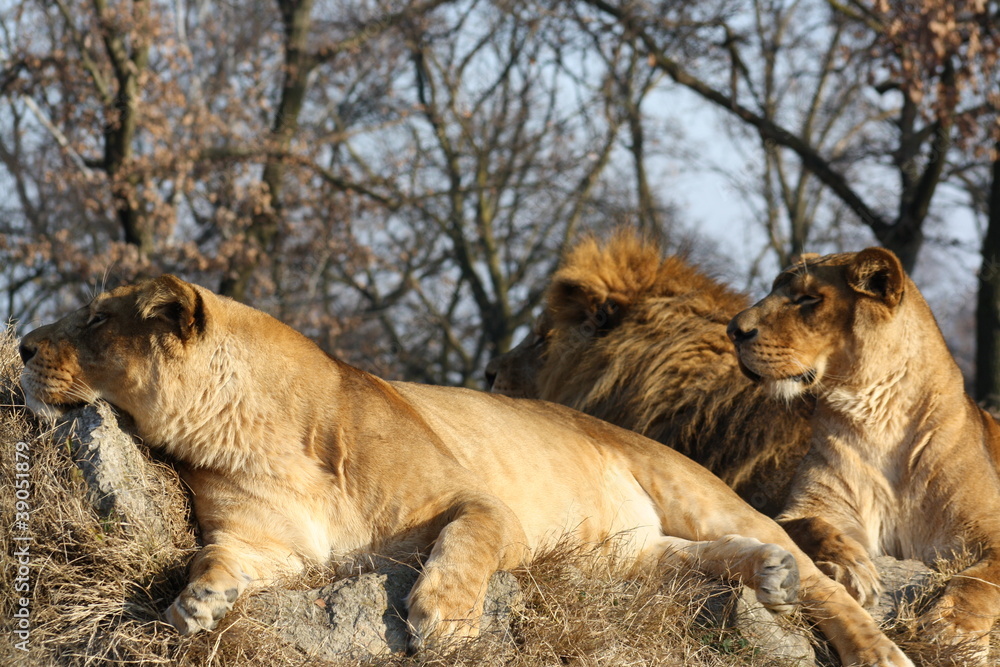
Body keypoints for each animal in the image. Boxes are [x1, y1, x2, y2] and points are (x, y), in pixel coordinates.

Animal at [18, 274, 911, 666]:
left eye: (94, 320)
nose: (22, 344)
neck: (248, 432)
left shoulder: (483, 505)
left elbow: (467, 534)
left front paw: (441, 617)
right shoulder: (270, 543)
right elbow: (219, 555)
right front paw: (196, 602)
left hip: (691, 489)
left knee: (818, 577)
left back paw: (870, 644)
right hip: (618, 560)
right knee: (702, 562)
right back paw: (766, 578)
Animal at [728, 247, 1000, 663]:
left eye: (808, 298)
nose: (733, 330)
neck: (877, 419)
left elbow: (979, 578)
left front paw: (951, 629)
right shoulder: (806, 509)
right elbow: (811, 526)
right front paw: (853, 568)